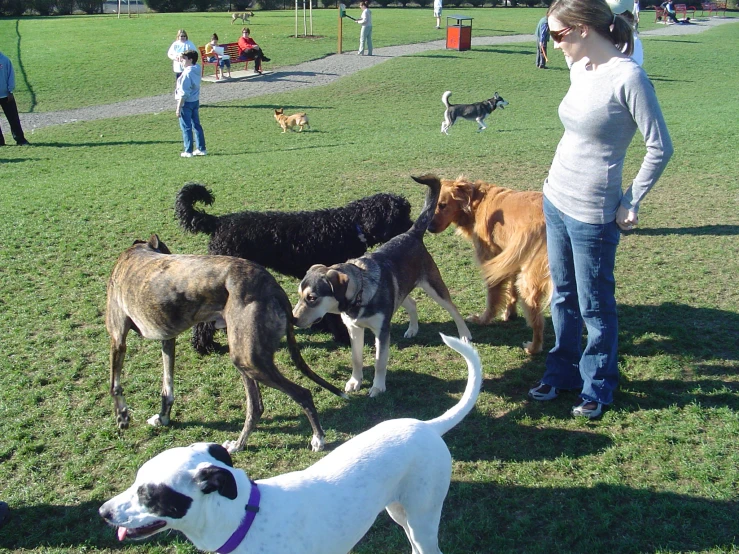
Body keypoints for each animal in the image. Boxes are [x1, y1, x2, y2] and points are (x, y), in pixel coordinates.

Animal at [176, 183, 414, 352]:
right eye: (401, 214)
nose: (413, 227)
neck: (349, 225)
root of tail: (218, 222)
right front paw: (342, 337)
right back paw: (204, 346)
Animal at [292, 175, 472, 394]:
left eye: (312, 297)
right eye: (299, 296)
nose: (292, 319)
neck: (359, 295)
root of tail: (411, 233)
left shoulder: (382, 331)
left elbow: (379, 361)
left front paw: (377, 388)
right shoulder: (354, 329)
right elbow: (356, 359)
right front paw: (355, 382)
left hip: (433, 286)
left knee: (453, 309)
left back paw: (464, 335)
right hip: (400, 291)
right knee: (412, 303)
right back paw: (412, 329)